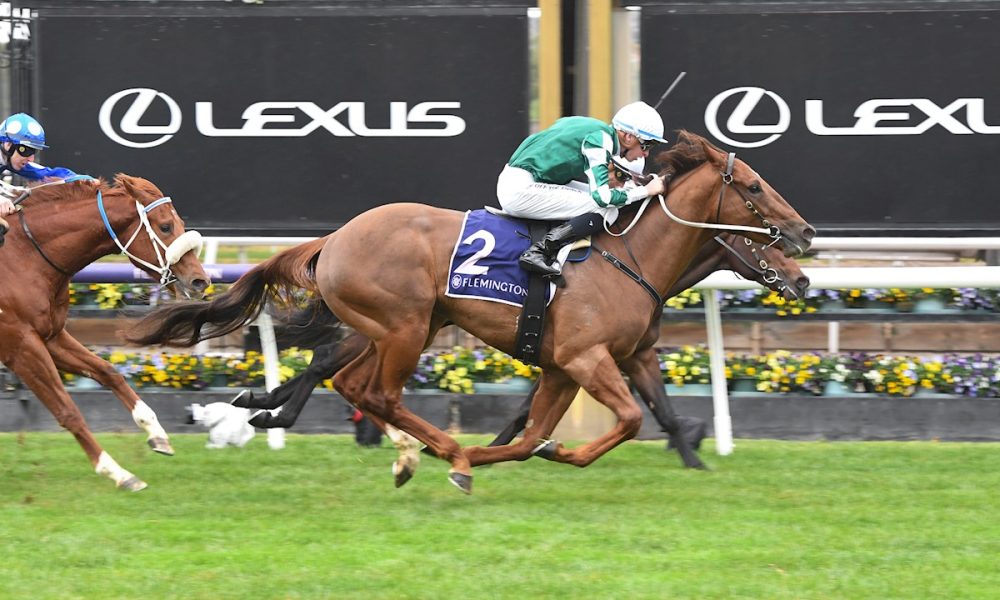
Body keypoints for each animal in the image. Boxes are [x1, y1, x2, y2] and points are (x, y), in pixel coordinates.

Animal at [0, 175, 210, 491]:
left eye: (180, 223)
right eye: (165, 226)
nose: (201, 281)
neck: (23, 256)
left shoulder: (51, 336)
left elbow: (108, 371)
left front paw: (157, 434)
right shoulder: (20, 346)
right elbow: (67, 410)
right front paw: (118, 473)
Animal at [229, 230, 810, 474]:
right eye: (761, 240)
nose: (803, 278)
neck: (631, 263)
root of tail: (336, 240)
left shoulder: (622, 354)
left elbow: (659, 410)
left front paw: (691, 452)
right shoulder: (580, 353)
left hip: (406, 325)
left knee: (337, 369)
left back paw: (267, 406)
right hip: (404, 326)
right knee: (340, 370)